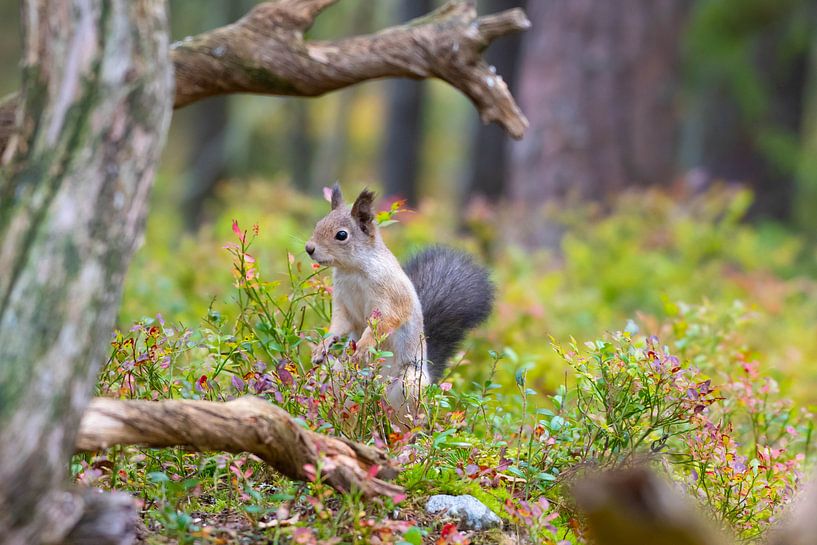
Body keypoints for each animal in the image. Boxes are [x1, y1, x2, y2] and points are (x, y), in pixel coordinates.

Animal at [305, 184, 494, 423]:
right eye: (318, 224)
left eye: (341, 235)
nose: (309, 248)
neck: (352, 270)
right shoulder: (343, 304)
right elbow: (339, 325)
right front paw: (323, 345)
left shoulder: (391, 296)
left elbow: (387, 320)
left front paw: (364, 345)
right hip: (339, 379)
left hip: (409, 385)